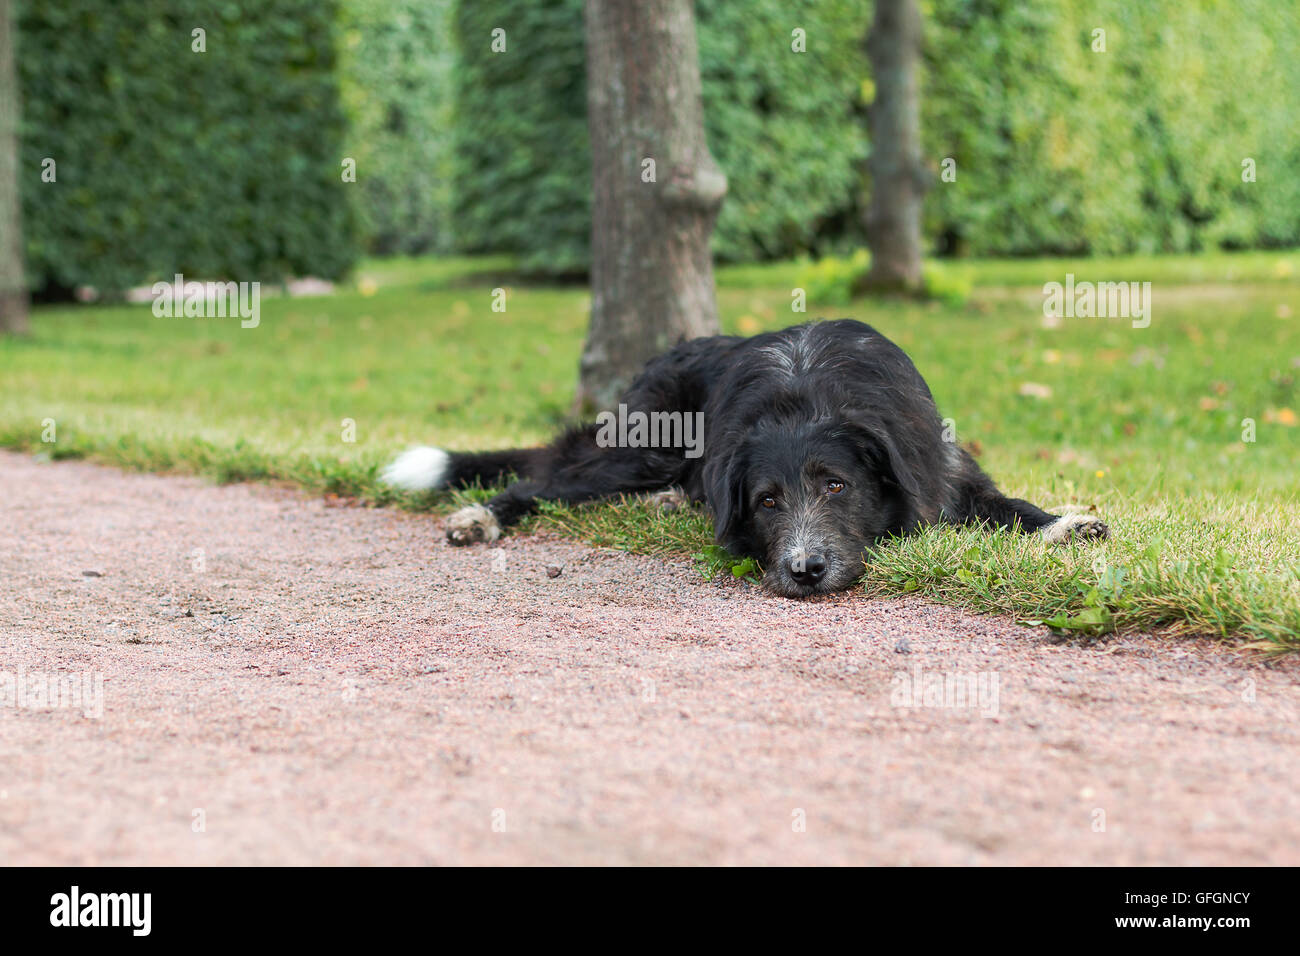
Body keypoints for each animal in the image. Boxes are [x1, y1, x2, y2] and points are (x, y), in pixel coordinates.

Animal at [379, 317, 1102, 595]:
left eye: (836, 486)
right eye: (767, 501)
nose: (805, 571)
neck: (807, 398)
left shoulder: (941, 466)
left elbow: (1006, 504)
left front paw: (1064, 524)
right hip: (642, 450)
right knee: (541, 482)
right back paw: (481, 516)